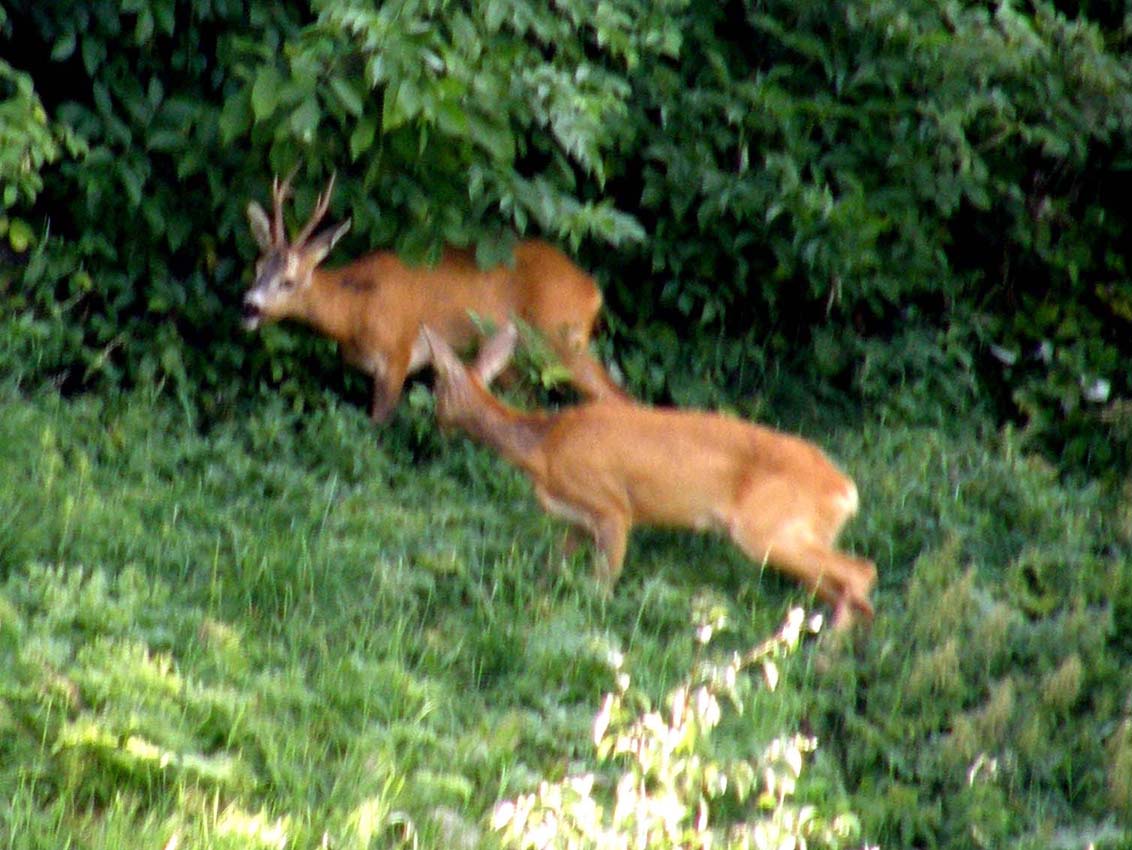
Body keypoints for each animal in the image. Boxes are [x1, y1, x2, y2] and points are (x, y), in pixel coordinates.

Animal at [243, 170, 629, 423]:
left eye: (289, 281)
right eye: (258, 266)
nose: (249, 306)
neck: (354, 309)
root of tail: (592, 290)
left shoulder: (396, 354)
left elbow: (378, 425)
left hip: (560, 337)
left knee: (612, 393)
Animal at [425, 321, 873, 629]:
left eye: (436, 390)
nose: (435, 424)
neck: (544, 449)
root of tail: (845, 490)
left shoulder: (612, 508)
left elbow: (603, 583)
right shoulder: (577, 521)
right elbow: (556, 569)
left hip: (766, 528)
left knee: (860, 572)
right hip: (801, 535)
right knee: (841, 587)